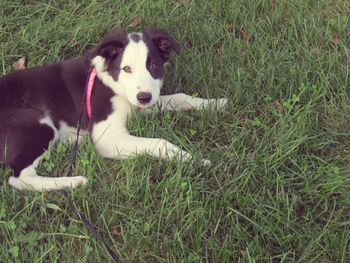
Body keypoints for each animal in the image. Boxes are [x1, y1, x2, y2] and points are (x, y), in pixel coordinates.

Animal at [0, 27, 228, 192]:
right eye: (126, 69)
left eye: (153, 66)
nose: (144, 97)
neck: (112, 82)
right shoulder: (109, 138)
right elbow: (159, 142)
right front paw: (196, 159)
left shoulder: (139, 105)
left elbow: (179, 97)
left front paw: (215, 104)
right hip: (38, 125)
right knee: (19, 179)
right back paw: (74, 181)